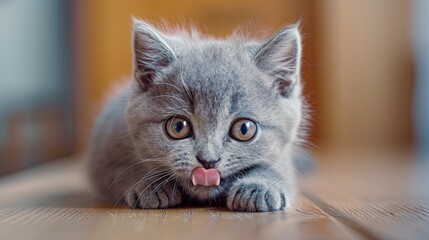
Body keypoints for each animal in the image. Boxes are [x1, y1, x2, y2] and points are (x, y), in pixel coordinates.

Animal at [87, 20, 306, 212]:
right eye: (178, 127)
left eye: (244, 129)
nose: (208, 161)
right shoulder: (104, 151)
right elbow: (121, 172)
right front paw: (151, 184)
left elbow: (276, 168)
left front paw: (259, 187)